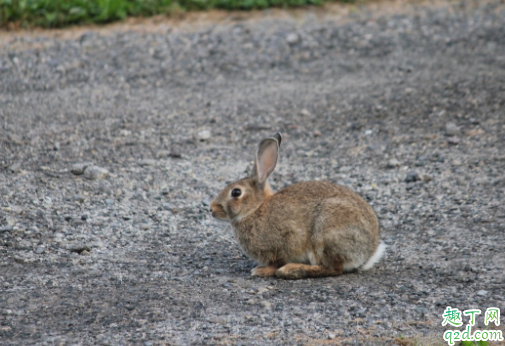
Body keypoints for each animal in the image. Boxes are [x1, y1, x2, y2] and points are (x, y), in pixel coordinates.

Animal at [207, 132, 384, 278]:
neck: (255, 209)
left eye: (236, 192)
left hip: (326, 231)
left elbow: (276, 262)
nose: (211, 209)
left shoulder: (283, 243)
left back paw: (291, 270)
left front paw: (261, 270)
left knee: (333, 268)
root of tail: (368, 252)